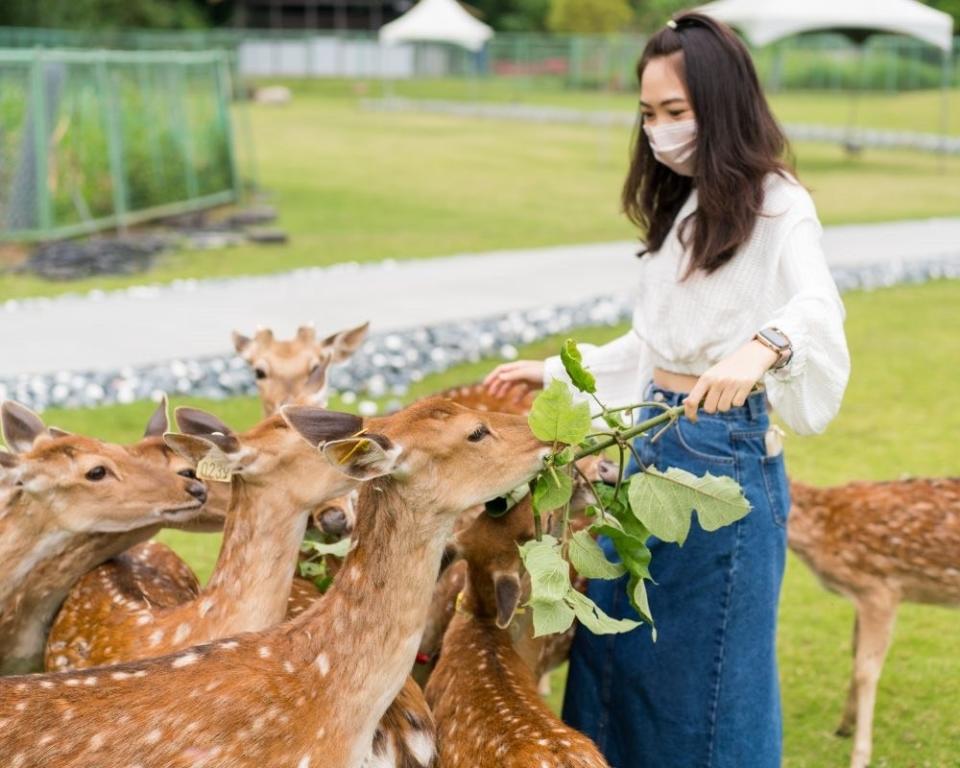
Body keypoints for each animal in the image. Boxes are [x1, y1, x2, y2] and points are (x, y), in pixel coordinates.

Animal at [788, 480, 960, 768]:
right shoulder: (862, 597)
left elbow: (866, 671)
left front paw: (859, 756)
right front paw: (843, 726)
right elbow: (855, 652)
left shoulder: (879, 590)